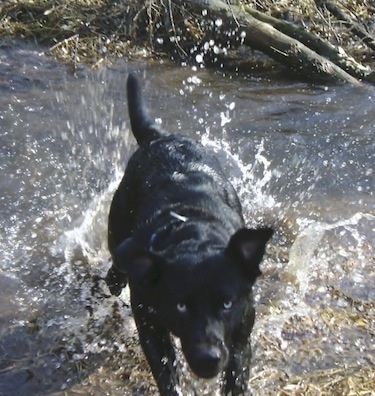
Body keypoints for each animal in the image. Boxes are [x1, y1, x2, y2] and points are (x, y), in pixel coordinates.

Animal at [106, 73, 274, 392]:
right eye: (181, 306)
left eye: (226, 303)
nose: (207, 358)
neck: (193, 233)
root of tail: (159, 137)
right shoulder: (150, 326)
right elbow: (167, 374)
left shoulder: (241, 336)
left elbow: (235, 378)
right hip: (118, 230)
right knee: (117, 263)